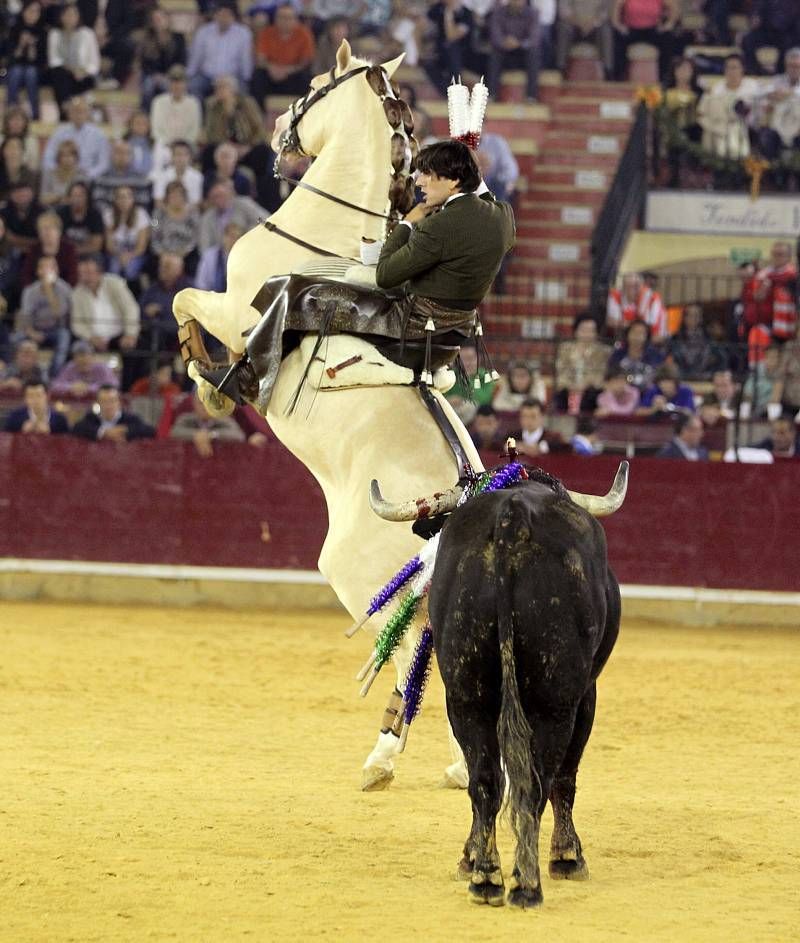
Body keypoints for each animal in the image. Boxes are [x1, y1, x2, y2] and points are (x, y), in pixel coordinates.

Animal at [175, 38, 620, 788]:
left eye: (314, 85)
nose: (277, 129)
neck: (327, 235)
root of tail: (479, 498)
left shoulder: (239, 309)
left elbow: (184, 299)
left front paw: (207, 380)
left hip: (359, 573)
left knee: (419, 641)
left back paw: (387, 754)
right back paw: (452, 763)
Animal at [428, 480, 620, 908]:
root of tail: (511, 518)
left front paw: (469, 857)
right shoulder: (586, 697)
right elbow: (566, 776)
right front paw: (568, 857)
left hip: (466, 696)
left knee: (485, 782)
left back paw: (486, 877)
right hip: (554, 702)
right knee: (537, 782)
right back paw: (526, 883)